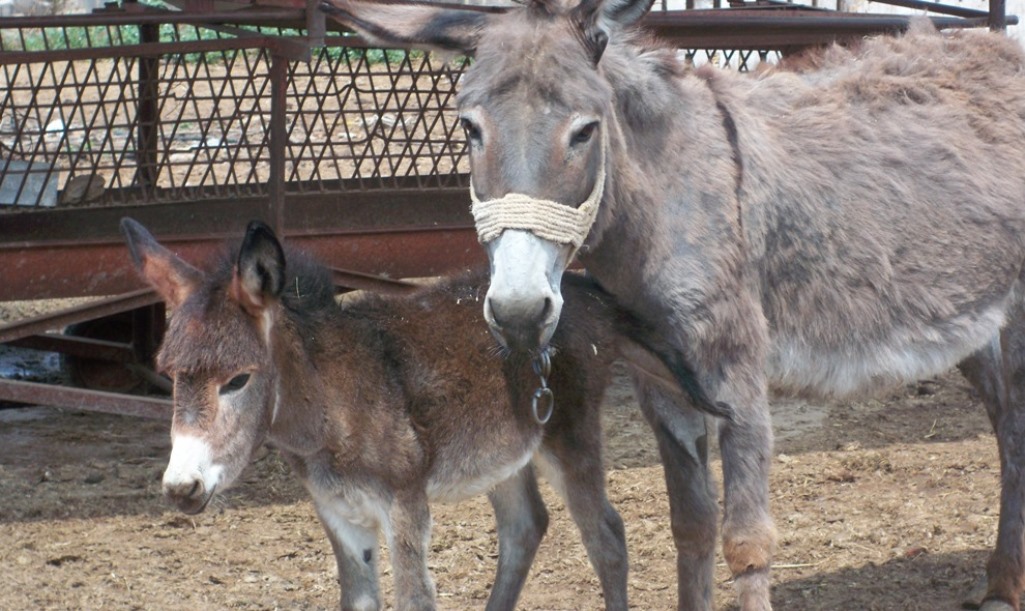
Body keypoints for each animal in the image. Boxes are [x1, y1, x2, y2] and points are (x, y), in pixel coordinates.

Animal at [121, 219, 680, 611]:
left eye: (237, 380)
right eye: (170, 375)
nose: (181, 488)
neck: (331, 407)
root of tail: (585, 290)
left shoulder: (406, 506)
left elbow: (416, 598)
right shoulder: (338, 513)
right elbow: (359, 600)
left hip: (570, 437)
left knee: (606, 537)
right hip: (502, 450)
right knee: (526, 527)